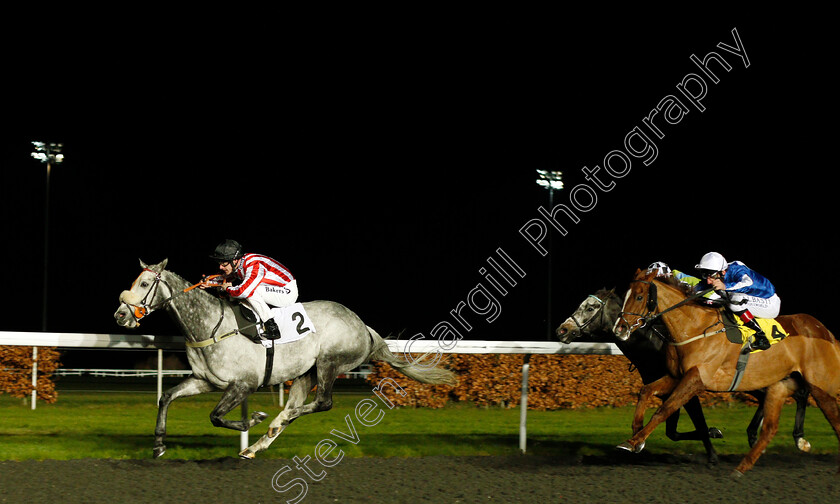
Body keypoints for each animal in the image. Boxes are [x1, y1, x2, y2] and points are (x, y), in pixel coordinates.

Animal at [115, 260, 456, 460]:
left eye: (144, 284)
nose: (120, 315)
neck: (211, 326)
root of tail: (363, 327)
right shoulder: (206, 381)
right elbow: (166, 397)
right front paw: (159, 445)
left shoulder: (244, 384)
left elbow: (216, 416)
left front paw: (253, 419)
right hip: (306, 372)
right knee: (298, 407)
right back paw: (257, 445)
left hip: (329, 363)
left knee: (321, 404)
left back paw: (273, 423)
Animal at [612, 268, 840, 476]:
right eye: (625, 294)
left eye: (639, 296)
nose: (620, 328)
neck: (695, 328)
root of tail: (825, 332)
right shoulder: (677, 376)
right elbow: (645, 391)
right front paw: (636, 432)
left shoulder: (696, 379)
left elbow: (665, 409)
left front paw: (635, 441)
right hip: (783, 384)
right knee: (780, 417)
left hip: (820, 386)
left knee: (831, 416)